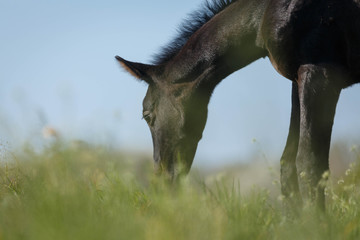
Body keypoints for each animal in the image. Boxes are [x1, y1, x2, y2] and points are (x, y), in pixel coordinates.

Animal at [116, 0, 360, 208]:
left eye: (147, 115)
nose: (162, 180)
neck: (262, 14)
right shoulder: (298, 79)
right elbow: (288, 163)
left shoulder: (320, 72)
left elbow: (310, 161)